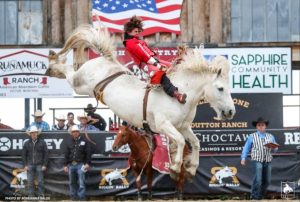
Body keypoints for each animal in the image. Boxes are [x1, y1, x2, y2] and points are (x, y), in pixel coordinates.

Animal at [45, 24, 236, 177]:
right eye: (220, 88)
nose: (230, 111)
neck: (182, 94)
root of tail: (106, 59)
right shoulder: (164, 125)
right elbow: (181, 141)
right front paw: (175, 166)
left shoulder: (183, 126)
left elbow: (195, 142)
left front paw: (191, 168)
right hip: (79, 83)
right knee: (69, 72)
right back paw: (53, 65)